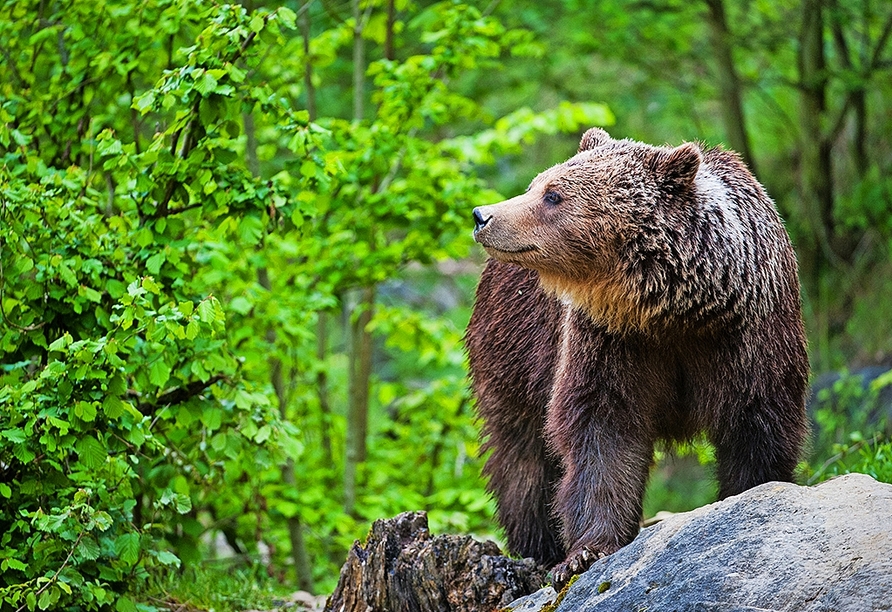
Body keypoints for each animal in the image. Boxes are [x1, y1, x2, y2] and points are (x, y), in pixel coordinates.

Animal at [466, 128, 808, 588]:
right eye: (538, 184)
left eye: (553, 194)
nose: (482, 215)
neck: (675, 312)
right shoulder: (609, 340)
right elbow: (603, 429)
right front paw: (584, 552)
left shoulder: (750, 334)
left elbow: (757, 421)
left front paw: (749, 495)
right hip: (512, 352)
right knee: (523, 455)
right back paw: (538, 546)